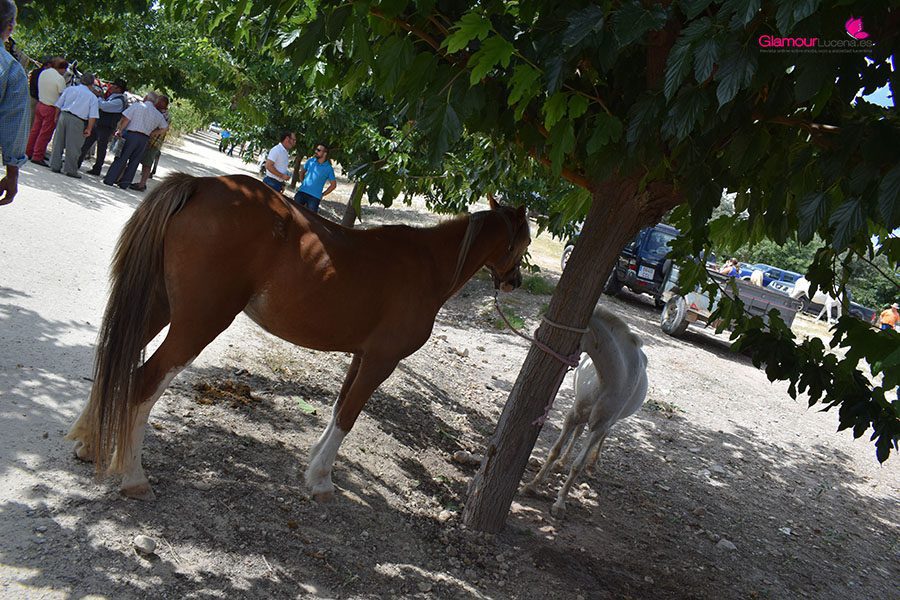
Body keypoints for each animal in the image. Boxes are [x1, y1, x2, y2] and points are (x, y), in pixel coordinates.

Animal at [67, 173, 531, 502]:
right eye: (524, 241)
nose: (515, 282)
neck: (428, 264)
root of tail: (201, 185)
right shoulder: (381, 361)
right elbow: (348, 417)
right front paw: (322, 481)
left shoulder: (361, 357)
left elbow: (339, 409)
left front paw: (312, 467)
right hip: (199, 323)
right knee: (142, 381)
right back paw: (133, 477)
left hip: (157, 306)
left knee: (115, 359)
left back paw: (91, 443)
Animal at [520, 305, 648, 518]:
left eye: (571, 335)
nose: (540, 344)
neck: (609, 382)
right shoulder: (573, 415)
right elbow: (554, 450)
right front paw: (532, 485)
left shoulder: (599, 427)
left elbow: (577, 465)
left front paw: (560, 504)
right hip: (581, 415)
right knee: (578, 432)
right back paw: (562, 462)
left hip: (608, 423)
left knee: (605, 435)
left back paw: (593, 463)